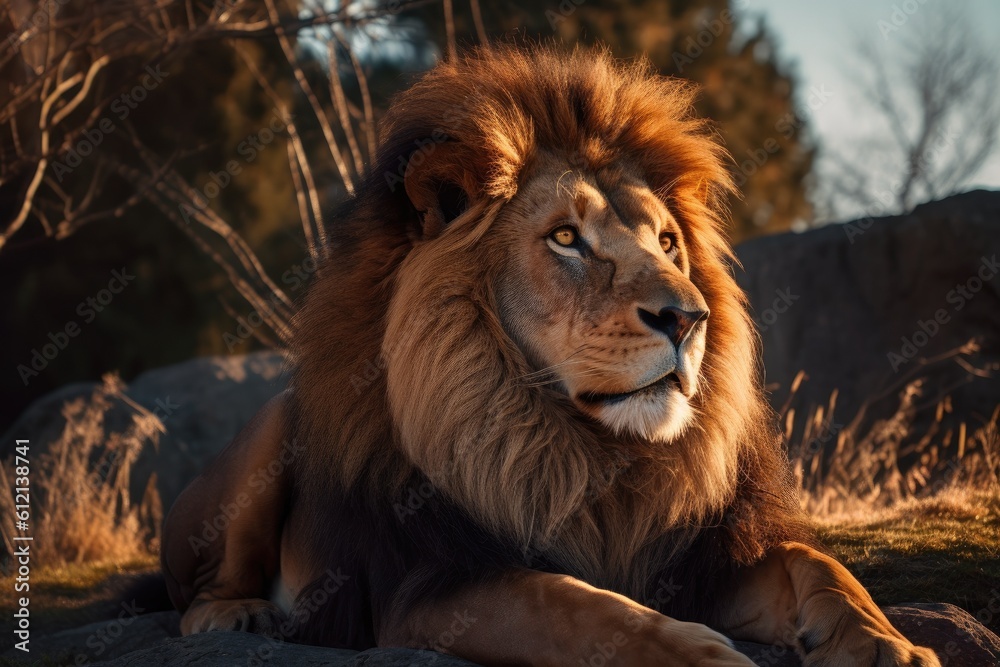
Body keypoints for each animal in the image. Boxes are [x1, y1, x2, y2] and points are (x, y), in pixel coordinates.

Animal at [161, 45, 940, 666]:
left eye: (667, 243)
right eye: (566, 238)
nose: (688, 318)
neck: (593, 456)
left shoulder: (701, 558)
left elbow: (820, 565)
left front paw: (885, 643)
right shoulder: (430, 587)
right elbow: (575, 605)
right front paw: (699, 656)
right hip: (271, 424)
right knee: (191, 590)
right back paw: (238, 612)